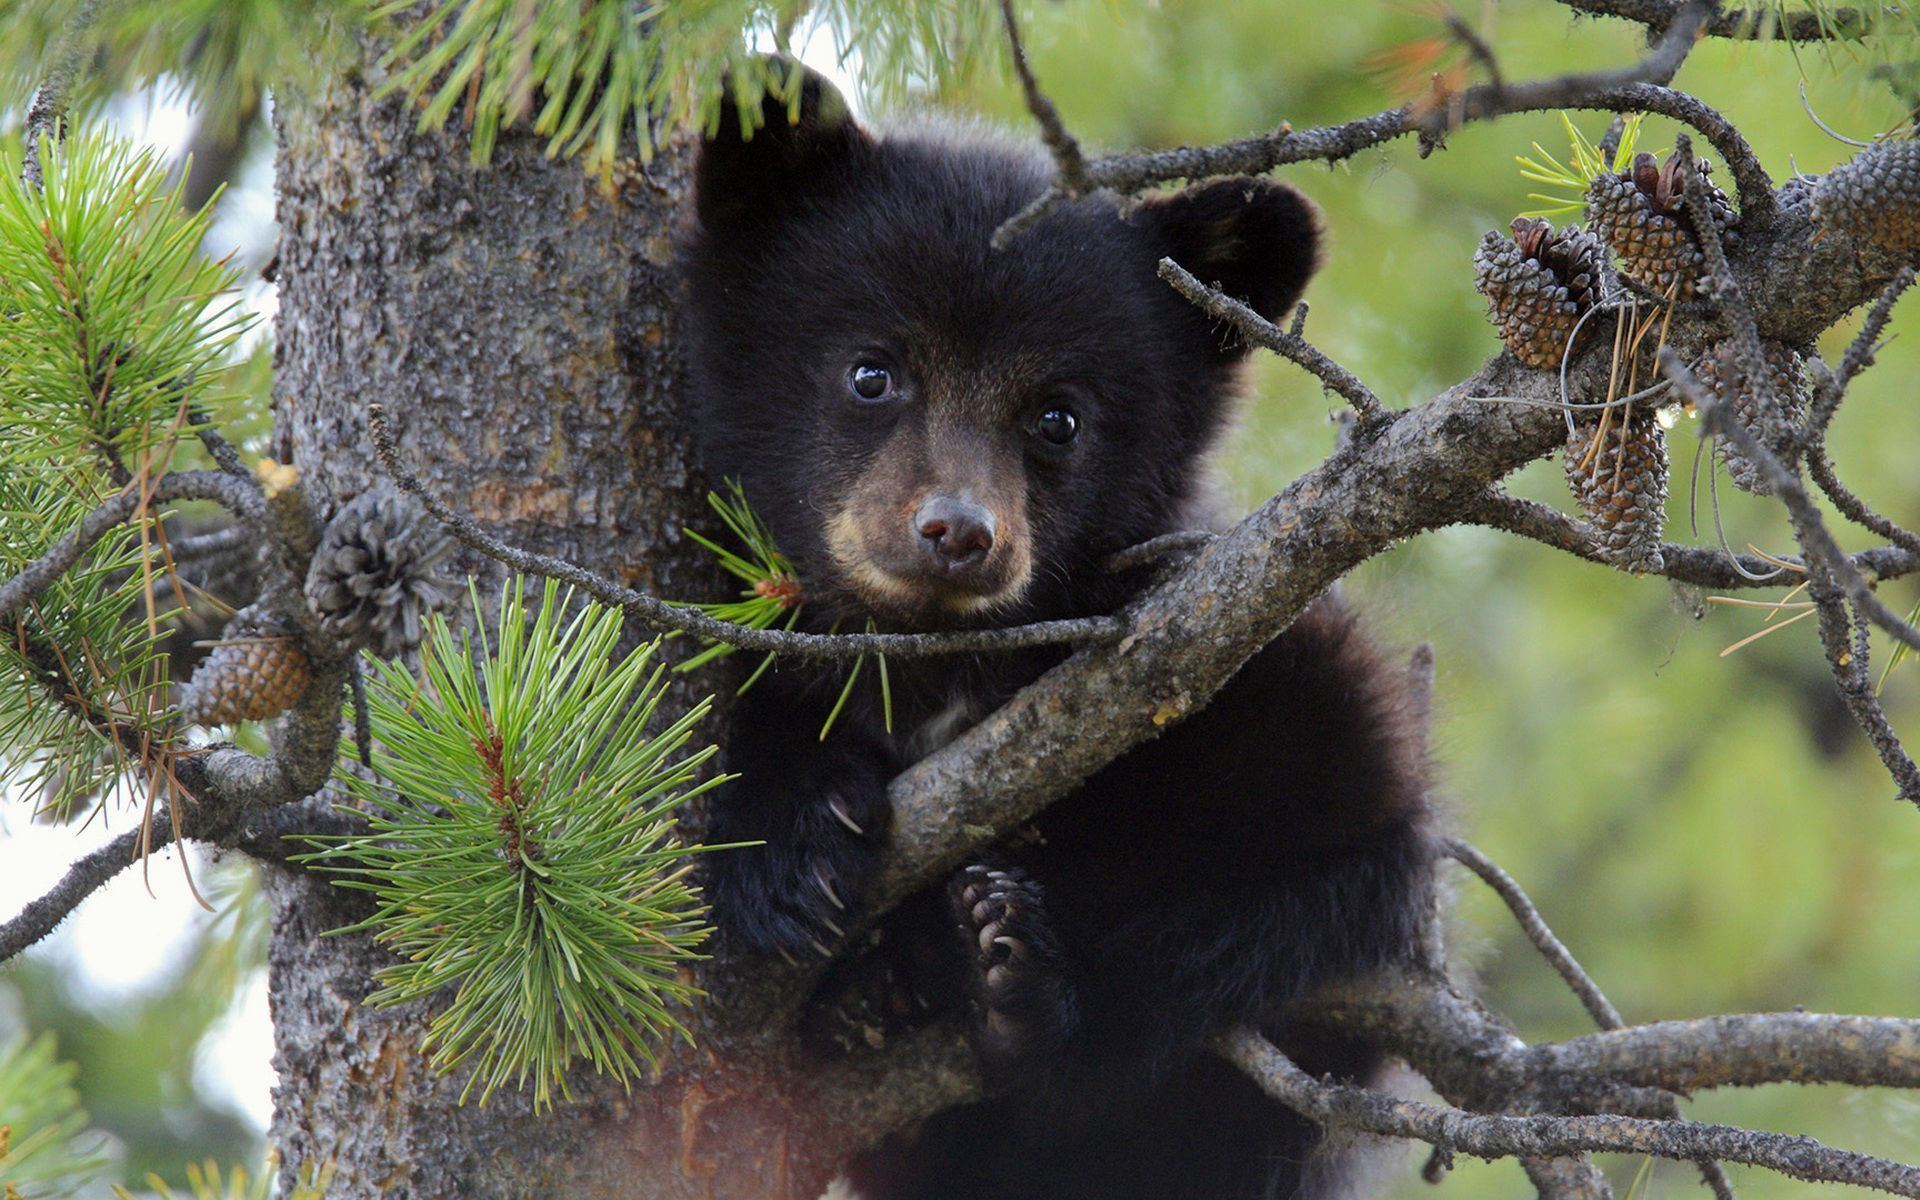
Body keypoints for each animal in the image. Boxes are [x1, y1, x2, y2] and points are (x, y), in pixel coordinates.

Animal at [680, 65, 1435, 1200]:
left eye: (1059, 417)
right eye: (871, 372)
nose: (958, 532)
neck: (944, 666)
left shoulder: (1284, 669)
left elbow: (1328, 869)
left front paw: (1029, 971)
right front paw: (791, 839)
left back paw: (1014, 983)